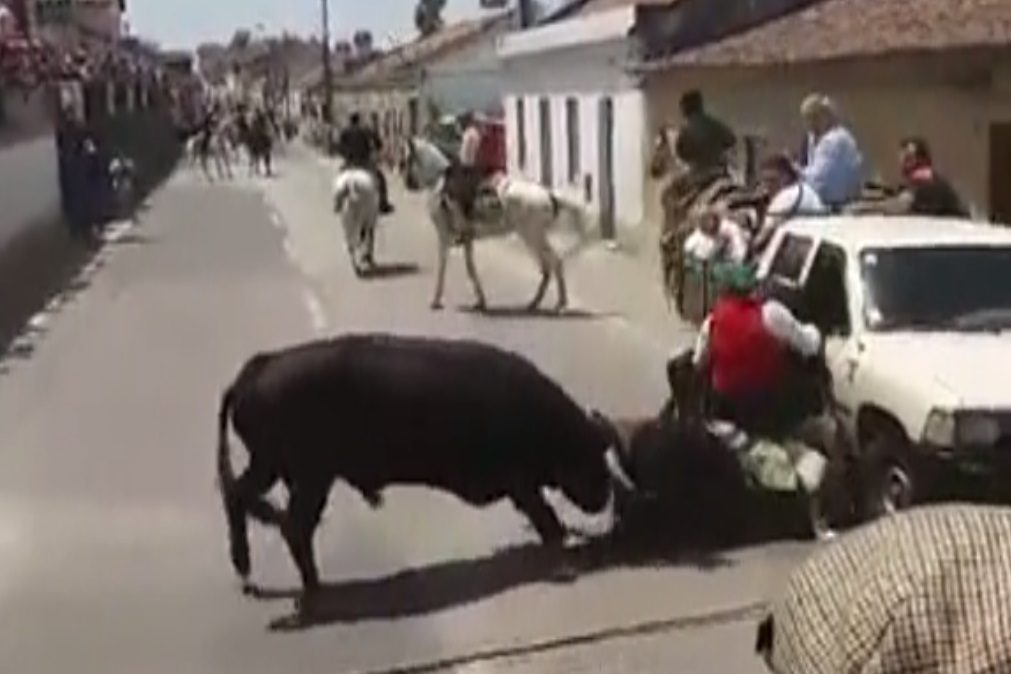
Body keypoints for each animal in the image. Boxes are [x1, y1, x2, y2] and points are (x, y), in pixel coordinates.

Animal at [215, 335, 614, 610]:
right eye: (592, 454)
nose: (606, 495)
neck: (549, 424)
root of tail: (255, 369)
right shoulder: (521, 479)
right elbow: (543, 512)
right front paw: (560, 541)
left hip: (275, 466)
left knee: (241, 495)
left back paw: (253, 571)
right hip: (309, 473)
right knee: (290, 521)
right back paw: (315, 586)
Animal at [400, 137, 586, 317]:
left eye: (406, 160)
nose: (407, 184)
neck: (438, 184)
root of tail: (549, 194)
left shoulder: (443, 235)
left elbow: (442, 266)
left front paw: (436, 300)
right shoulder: (467, 238)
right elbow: (470, 267)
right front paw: (480, 301)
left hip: (532, 236)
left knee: (555, 263)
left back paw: (560, 305)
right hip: (533, 237)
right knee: (548, 268)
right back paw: (534, 303)